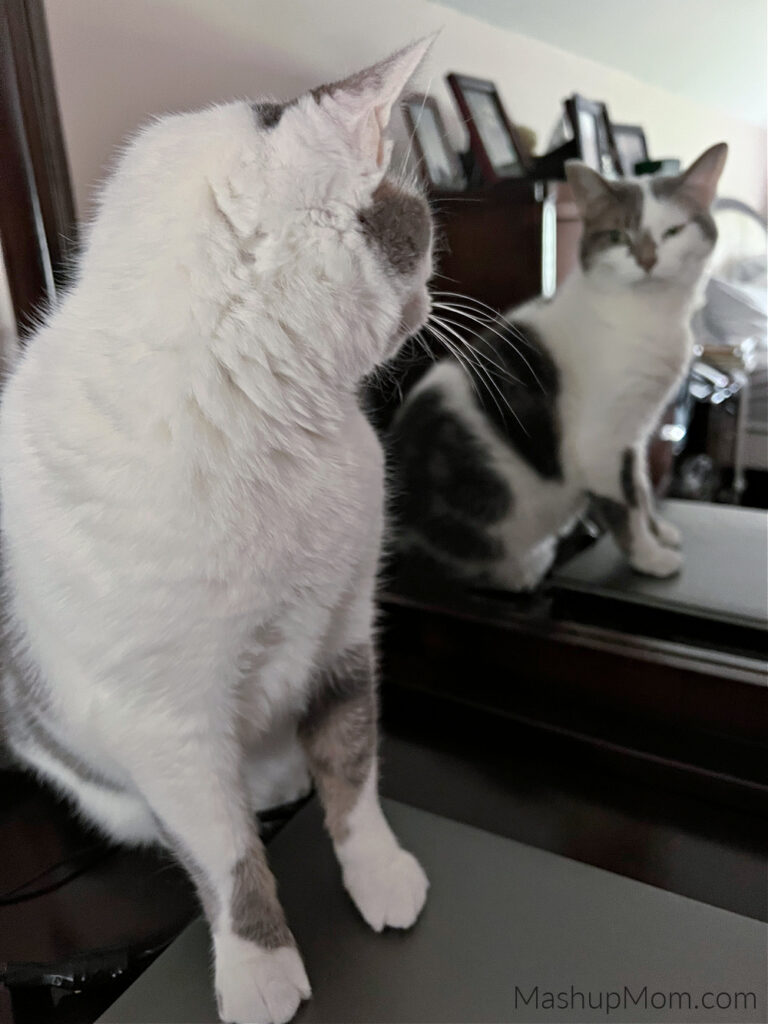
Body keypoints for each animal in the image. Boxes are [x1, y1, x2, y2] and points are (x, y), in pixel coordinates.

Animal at [0, 39, 434, 1024]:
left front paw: (378, 870)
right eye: (424, 231)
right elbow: (226, 855)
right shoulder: (164, 722)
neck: (262, 417)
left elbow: (355, 766)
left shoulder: (344, 630)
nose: (434, 300)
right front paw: (258, 968)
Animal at [397, 145, 729, 593]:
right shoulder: (600, 441)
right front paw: (648, 556)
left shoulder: (635, 434)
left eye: (674, 231)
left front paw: (658, 531)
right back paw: (521, 570)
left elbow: (641, 488)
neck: (650, 315)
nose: (647, 259)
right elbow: (624, 506)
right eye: (617, 236)